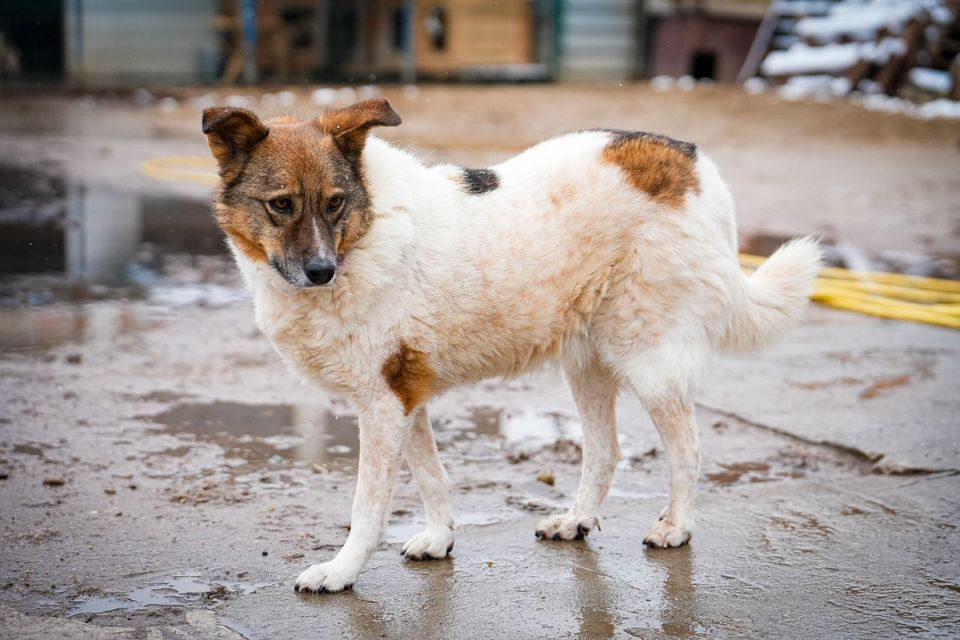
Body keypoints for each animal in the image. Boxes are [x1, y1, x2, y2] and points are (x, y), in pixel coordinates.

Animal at [201, 97, 816, 592]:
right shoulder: (405, 398)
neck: (364, 232)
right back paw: (576, 521)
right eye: (281, 204)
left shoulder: (382, 403)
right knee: (605, 451)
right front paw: (440, 539)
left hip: (649, 360)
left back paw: (677, 528)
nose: (321, 272)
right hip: (587, 365)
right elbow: (432, 477)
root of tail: (690, 160)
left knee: (686, 449)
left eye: (333, 203)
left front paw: (341, 571)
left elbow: (367, 508)